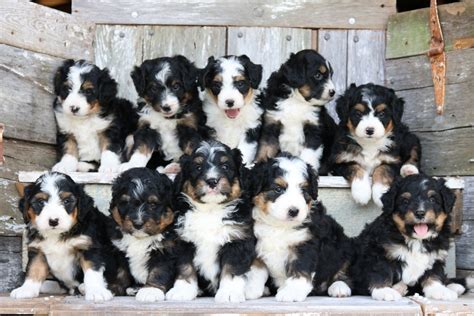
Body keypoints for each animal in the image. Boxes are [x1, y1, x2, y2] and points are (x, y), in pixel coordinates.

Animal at [11, 173, 130, 302]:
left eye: (67, 201)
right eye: (41, 202)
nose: (53, 221)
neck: (58, 234)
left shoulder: (89, 247)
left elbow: (92, 272)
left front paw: (96, 291)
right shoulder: (37, 250)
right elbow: (34, 269)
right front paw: (26, 289)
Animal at [108, 169, 177, 302]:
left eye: (153, 204)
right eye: (126, 203)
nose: (137, 224)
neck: (140, 238)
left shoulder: (165, 250)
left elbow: (158, 271)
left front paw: (150, 291)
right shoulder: (119, 251)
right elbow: (120, 272)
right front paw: (112, 287)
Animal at [169, 140, 256, 302]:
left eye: (225, 166)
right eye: (197, 167)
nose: (212, 181)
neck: (210, 210)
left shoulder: (237, 240)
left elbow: (231, 268)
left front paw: (229, 293)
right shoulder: (184, 241)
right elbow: (185, 266)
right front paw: (183, 290)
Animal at [248, 154, 352, 302]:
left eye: (303, 190)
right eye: (278, 189)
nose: (294, 211)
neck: (279, 226)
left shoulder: (305, 245)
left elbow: (300, 270)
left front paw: (291, 292)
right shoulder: (257, 243)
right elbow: (256, 269)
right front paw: (250, 288)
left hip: (343, 248)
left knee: (343, 272)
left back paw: (339, 288)